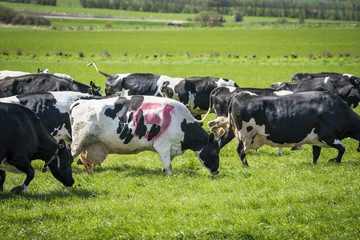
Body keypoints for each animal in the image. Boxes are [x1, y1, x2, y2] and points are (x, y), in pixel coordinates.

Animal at [68, 94, 218, 175]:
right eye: (215, 152)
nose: (217, 171)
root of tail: (80, 102)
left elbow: (168, 161)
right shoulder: (162, 145)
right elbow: (168, 164)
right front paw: (170, 175)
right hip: (80, 140)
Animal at [218, 92, 360, 167]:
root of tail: (241, 94)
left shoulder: (316, 140)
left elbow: (316, 154)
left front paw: (315, 165)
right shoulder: (327, 135)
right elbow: (342, 149)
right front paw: (336, 161)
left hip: (231, 130)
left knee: (219, 142)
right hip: (246, 134)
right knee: (241, 150)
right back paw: (246, 166)